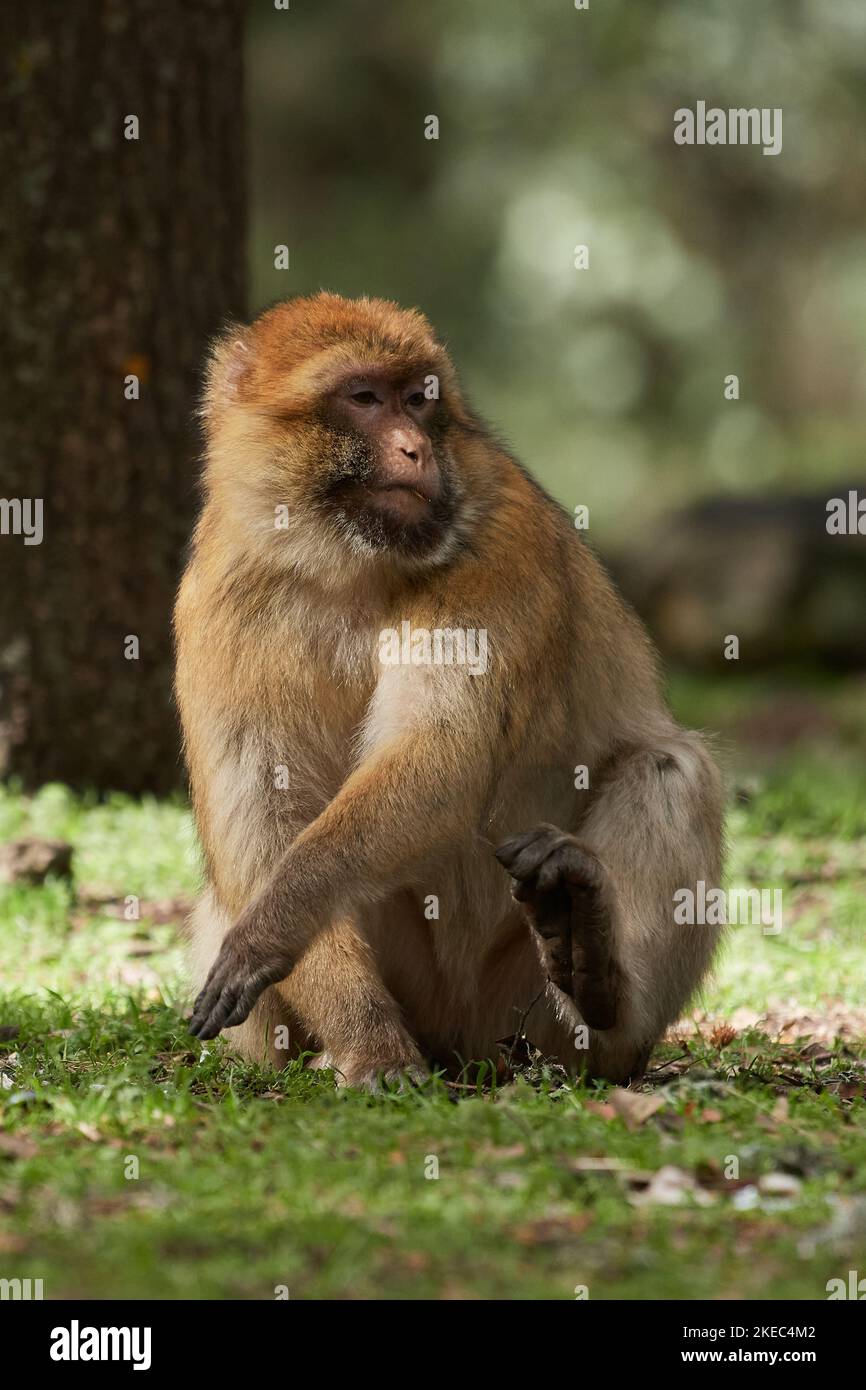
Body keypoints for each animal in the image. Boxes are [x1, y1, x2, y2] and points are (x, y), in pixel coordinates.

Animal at [176, 293, 722, 1089]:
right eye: (365, 398)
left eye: (419, 399)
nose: (416, 450)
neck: (344, 558)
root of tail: (467, 1047)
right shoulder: (221, 590)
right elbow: (263, 814)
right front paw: (369, 1042)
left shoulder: (499, 542)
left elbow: (444, 754)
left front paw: (280, 918)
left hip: (521, 1009)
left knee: (671, 768)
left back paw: (595, 974)